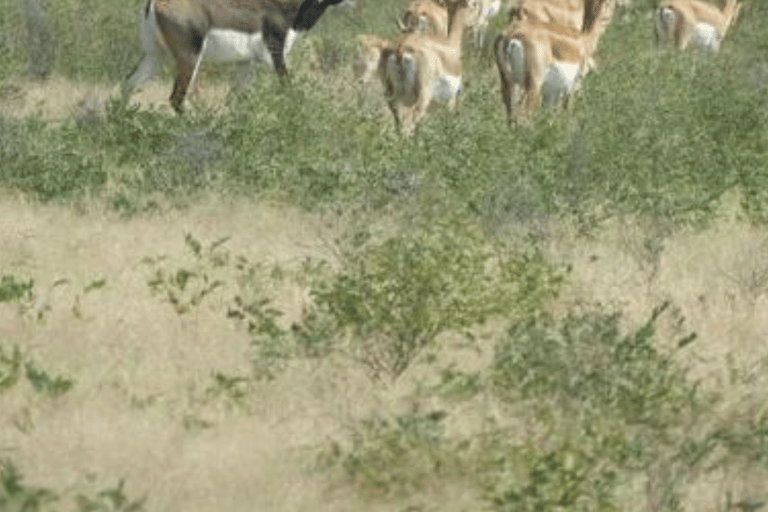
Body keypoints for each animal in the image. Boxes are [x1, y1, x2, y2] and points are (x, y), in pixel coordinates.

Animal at [123, 0, 344, 112]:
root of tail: (153, 3)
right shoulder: (277, 55)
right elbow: (288, 88)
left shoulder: (245, 63)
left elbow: (237, 99)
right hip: (190, 58)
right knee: (176, 98)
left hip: (154, 55)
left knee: (129, 83)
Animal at [376, 0, 468, 136]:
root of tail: (400, 49)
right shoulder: (452, 100)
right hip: (422, 96)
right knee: (412, 121)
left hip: (392, 94)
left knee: (399, 119)